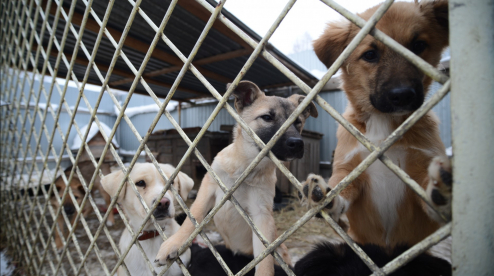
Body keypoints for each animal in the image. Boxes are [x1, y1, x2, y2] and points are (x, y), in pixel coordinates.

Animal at [152, 81, 318, 274]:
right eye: (267, 117)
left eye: (298, 122)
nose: (298, 144)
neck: (245, 168)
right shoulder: (208, 188)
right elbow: (193, 218)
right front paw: (174, 243)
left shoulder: (261, 213)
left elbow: (265, 259)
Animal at [304, 0, 456, 248]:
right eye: (370, 54)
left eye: (418, 45)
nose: (403, 95)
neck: (383, 124)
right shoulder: (349, 169)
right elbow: (340, 187)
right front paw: (323, 194)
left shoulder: (418, 172)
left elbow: (426, 193)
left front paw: (443, 189)